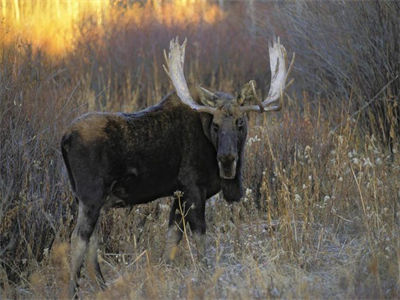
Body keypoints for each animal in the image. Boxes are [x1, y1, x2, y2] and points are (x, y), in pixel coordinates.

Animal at [61, 37, 290, 296]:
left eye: (240, 123)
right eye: (216, 125)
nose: (227, 158)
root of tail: (65, 138)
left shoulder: (178, 193)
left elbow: (172, 238)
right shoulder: (193, 188)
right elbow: (199, 237)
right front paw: (207, 275)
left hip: (91, 199)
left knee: (91, 240)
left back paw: (102, 286)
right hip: (91, 196)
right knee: (78, 239)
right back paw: (74, 291)